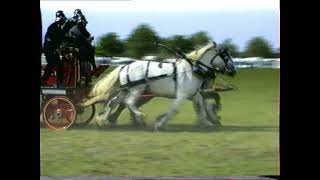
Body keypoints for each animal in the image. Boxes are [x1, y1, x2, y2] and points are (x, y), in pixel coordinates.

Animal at [80, 41, 235, 130]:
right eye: (226, 56)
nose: (233, 70)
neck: (193, 69)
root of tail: (125, 66)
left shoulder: (194, 95)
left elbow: (201, 107)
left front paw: (208, 122)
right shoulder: (181, 95)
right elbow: (174, 110)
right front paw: (160, 122)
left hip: (127, 89)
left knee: (115, 102)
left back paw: (103, 120)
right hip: (137, 89)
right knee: (128, 102)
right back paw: (140, 116)